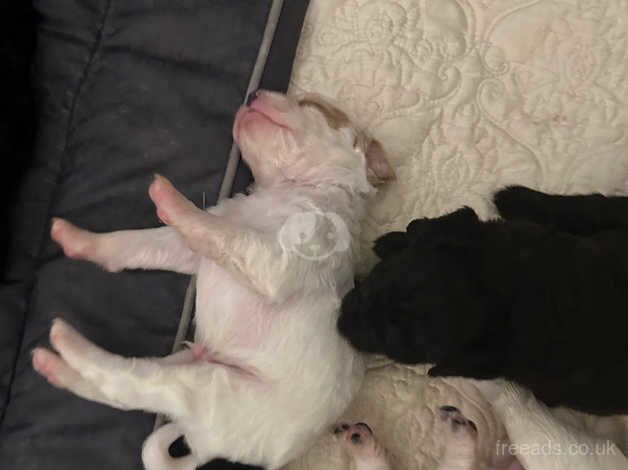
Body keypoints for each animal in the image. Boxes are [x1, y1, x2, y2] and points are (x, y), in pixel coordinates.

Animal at [33, 90, 392, 468]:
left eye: (312, 105)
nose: (253, 93)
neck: (288, 189)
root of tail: (209, 448)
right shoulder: (191, 251)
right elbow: (136, 243)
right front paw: (82, 240)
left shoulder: (275, 261)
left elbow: (218, 230)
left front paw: (173, 202)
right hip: (192, 360)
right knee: (121, 390)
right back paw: (57, 365)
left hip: (209, 386)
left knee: (129, 383)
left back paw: (67, 347)